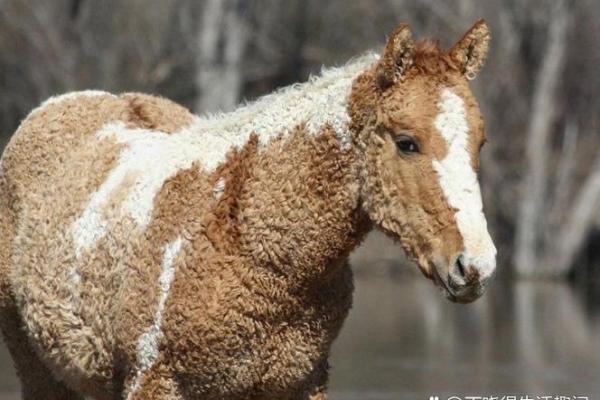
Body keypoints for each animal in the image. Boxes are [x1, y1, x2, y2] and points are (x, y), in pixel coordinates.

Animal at [0, 21, 494, 400]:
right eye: (407, 142)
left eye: (480, 142)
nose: (475, 265)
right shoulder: (153, 381)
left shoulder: (299, 384)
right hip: (40, 371)